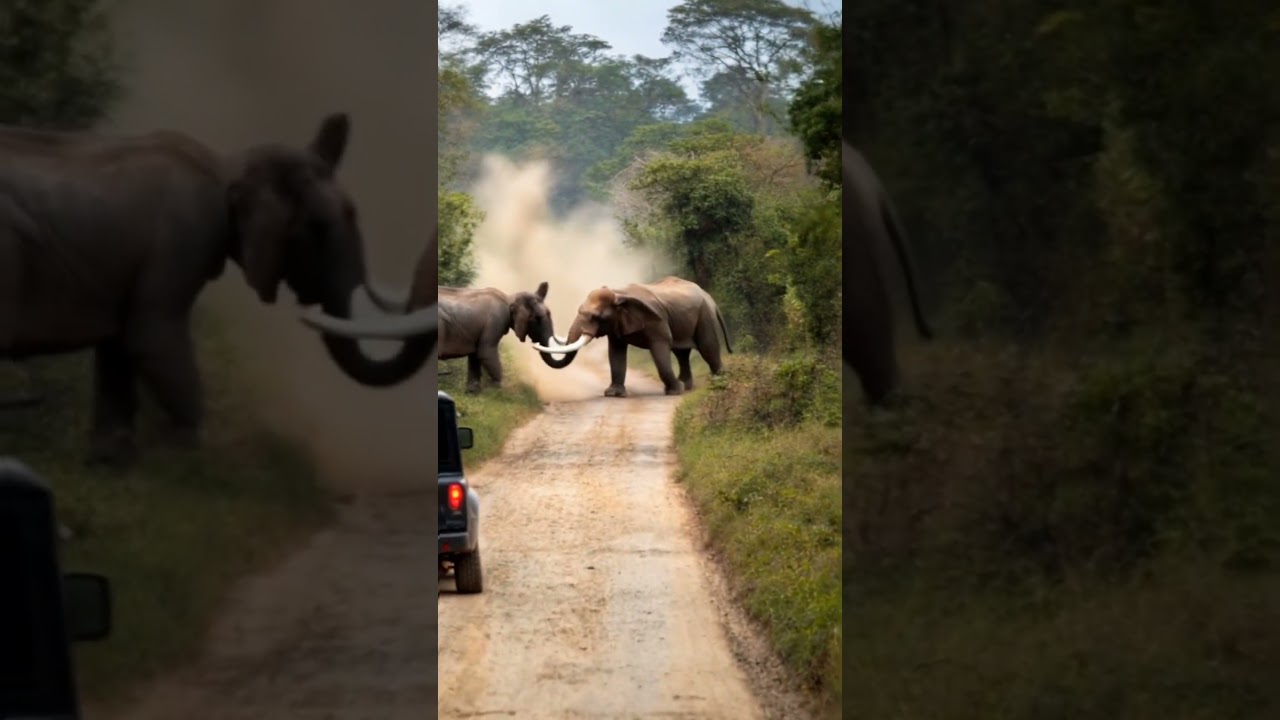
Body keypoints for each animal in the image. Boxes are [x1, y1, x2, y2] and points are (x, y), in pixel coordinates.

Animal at [0, 112, 437, 466]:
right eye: (318, 228)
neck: (230, 165)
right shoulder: (183, 236)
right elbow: (150, 337)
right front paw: (188, 457)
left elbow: (119, 344)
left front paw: (112, 463)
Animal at [532, 277, 732, 398]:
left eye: (596, 317)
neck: (618, 293)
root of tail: (708, 296)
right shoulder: (617, 324)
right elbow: (616, 353)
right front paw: (613, 394)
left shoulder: (656, 321)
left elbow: (660, 349)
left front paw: (674, 392)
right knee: (681, 353)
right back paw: (688, 386)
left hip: (705, 315)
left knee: (707, 348)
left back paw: (718, 383)